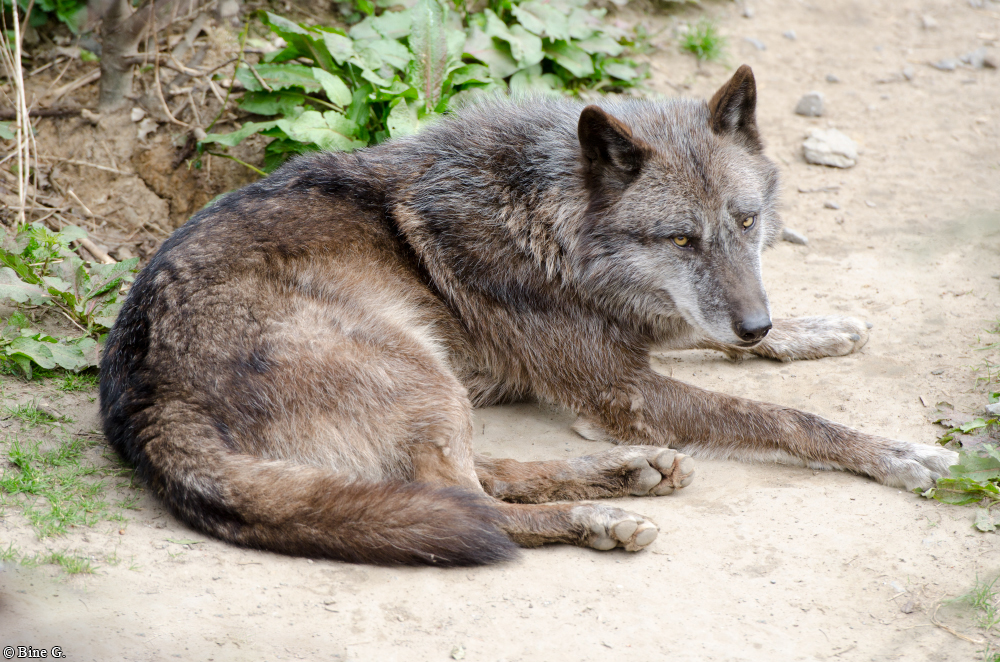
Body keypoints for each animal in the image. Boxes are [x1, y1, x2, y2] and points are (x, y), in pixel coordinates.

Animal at [99, 65, 958, 566]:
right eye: (680, 238)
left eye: (747, 223)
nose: (757, 324)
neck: (550, 221)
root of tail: (142, 399)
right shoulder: (621, 391)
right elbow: (787, 418)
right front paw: (897, 454)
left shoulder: (646, 337)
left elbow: (710, 335)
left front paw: (811, 330)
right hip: (418, 369)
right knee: (468, 501)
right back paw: (595, 513)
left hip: (432, 383)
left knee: (471, 478)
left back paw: (625, 476)